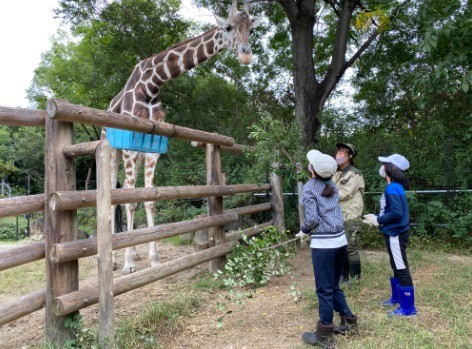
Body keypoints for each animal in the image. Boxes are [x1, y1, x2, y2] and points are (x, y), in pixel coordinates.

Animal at [102, 0, 262, 274]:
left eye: (251, 30)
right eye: (228, 27)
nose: (246, 55)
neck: (151, 86)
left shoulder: (153, 146)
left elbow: (149, 199)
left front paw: (153, 258)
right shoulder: (131, 142)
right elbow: (130, 201)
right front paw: (128, 264)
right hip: (113, 150)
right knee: (115, 197)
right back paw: (114, 260)